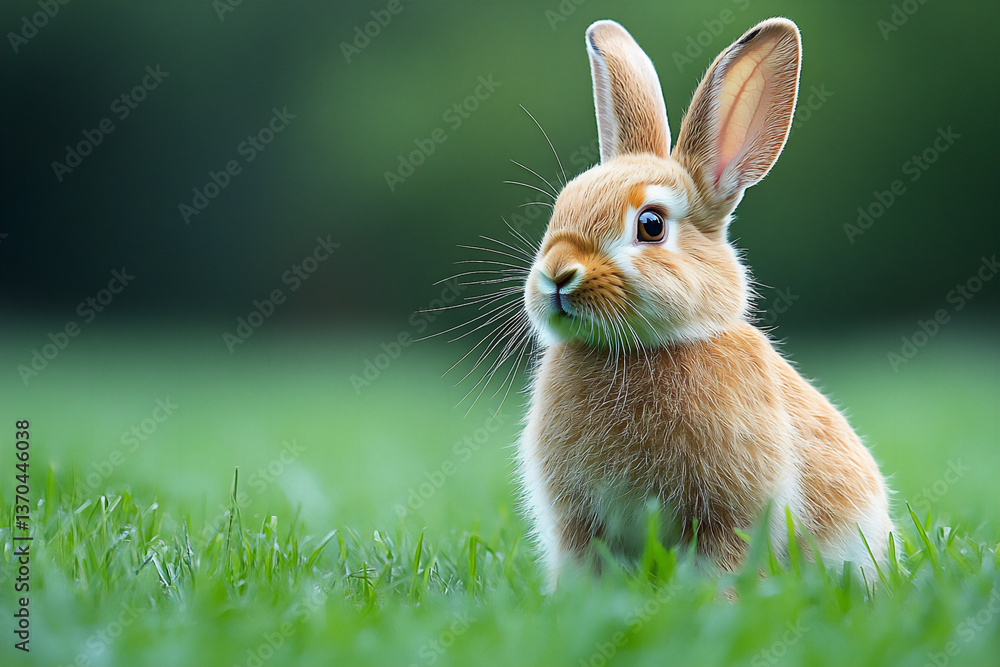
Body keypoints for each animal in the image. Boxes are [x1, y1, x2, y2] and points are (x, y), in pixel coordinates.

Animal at [517, 17, 894, 590]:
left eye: (651, 225)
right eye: (561, 209)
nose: (557, 274)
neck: (640, 349)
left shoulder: (729, 516)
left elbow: (721, 568)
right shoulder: (578, 524)